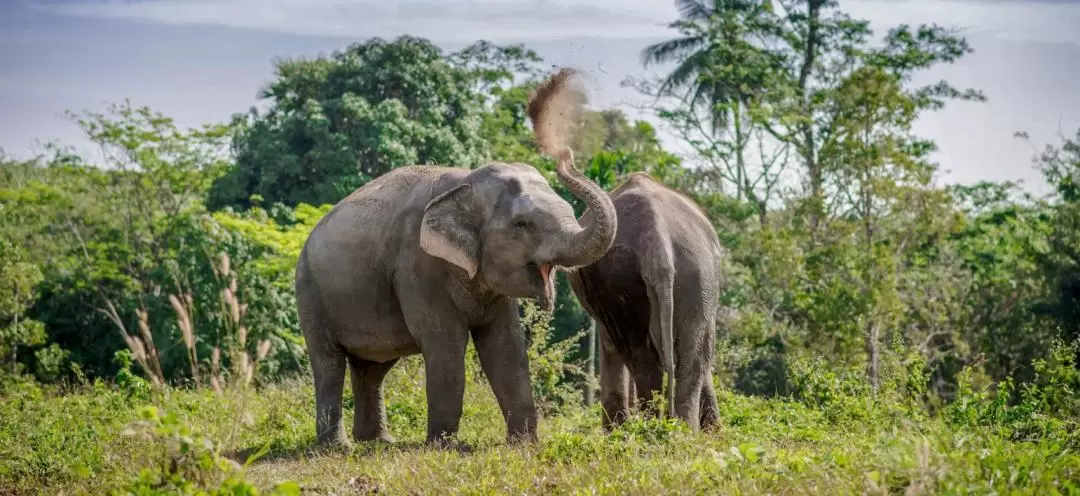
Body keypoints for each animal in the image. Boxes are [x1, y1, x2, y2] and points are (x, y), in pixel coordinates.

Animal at [295, 70, 617, 449]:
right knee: (329, 363)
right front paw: (446, 446)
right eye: (523, 224)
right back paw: (339, 447)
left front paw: (524, 444)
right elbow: (445, 342)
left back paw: (378, 442)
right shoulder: (417, 266)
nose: (564, 152)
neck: (466, 182)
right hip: (310, 292)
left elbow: (506, 346)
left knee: (373, 367)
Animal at [565, 172, 725, 432]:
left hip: (622, 278)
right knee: (692, 357)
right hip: (698, 276)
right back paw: (681, 432)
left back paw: (650, 431)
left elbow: (609, 344)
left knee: (639, 355)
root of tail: (656, 237)